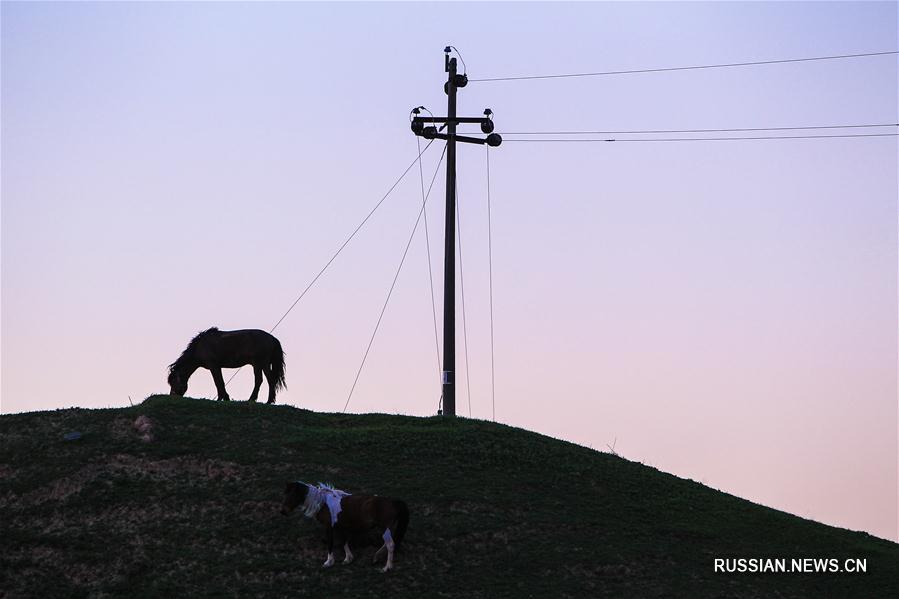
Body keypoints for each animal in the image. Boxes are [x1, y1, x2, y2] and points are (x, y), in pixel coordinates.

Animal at [282, 480, 412, 576]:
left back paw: (387, 567)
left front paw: (329, 562)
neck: (323, 503)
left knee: (390, 545)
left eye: (292, 494)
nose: (283, 511)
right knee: (389, 543)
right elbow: (343, 541)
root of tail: (393, 502)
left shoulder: (329, 527)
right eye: (286, 494)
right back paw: (375, 558)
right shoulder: (340, 527)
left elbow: (330, 543)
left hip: (384, 528)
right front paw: (348, 559)